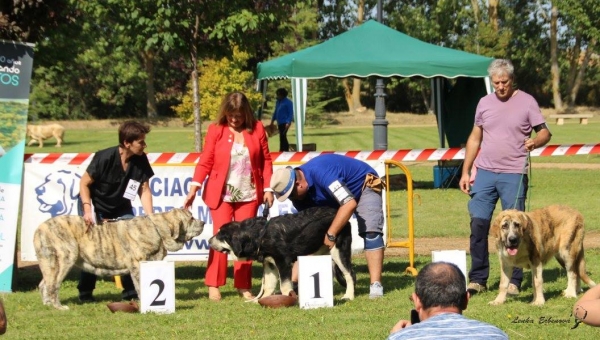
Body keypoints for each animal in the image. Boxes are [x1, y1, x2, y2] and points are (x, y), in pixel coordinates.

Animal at [34, 207, 204, 310]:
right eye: (191, 218)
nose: (202, 222)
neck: (157, 230)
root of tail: (39, 229)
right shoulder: (137, 266)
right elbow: (140, 286)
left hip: (49, 264)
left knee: (44, 284)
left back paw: (47, 304)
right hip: (64, 260)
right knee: (53, 285)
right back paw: (59, 307)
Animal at [209, 207, 354, 300]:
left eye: (220, 235)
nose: (209, 241)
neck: (259, 235)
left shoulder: (283, 262)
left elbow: (284, 285)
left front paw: (286, 299)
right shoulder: (269, 264)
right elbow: (268, 285)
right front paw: (262, 300)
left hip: (338, 251)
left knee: (350, 274)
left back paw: (349, 296)